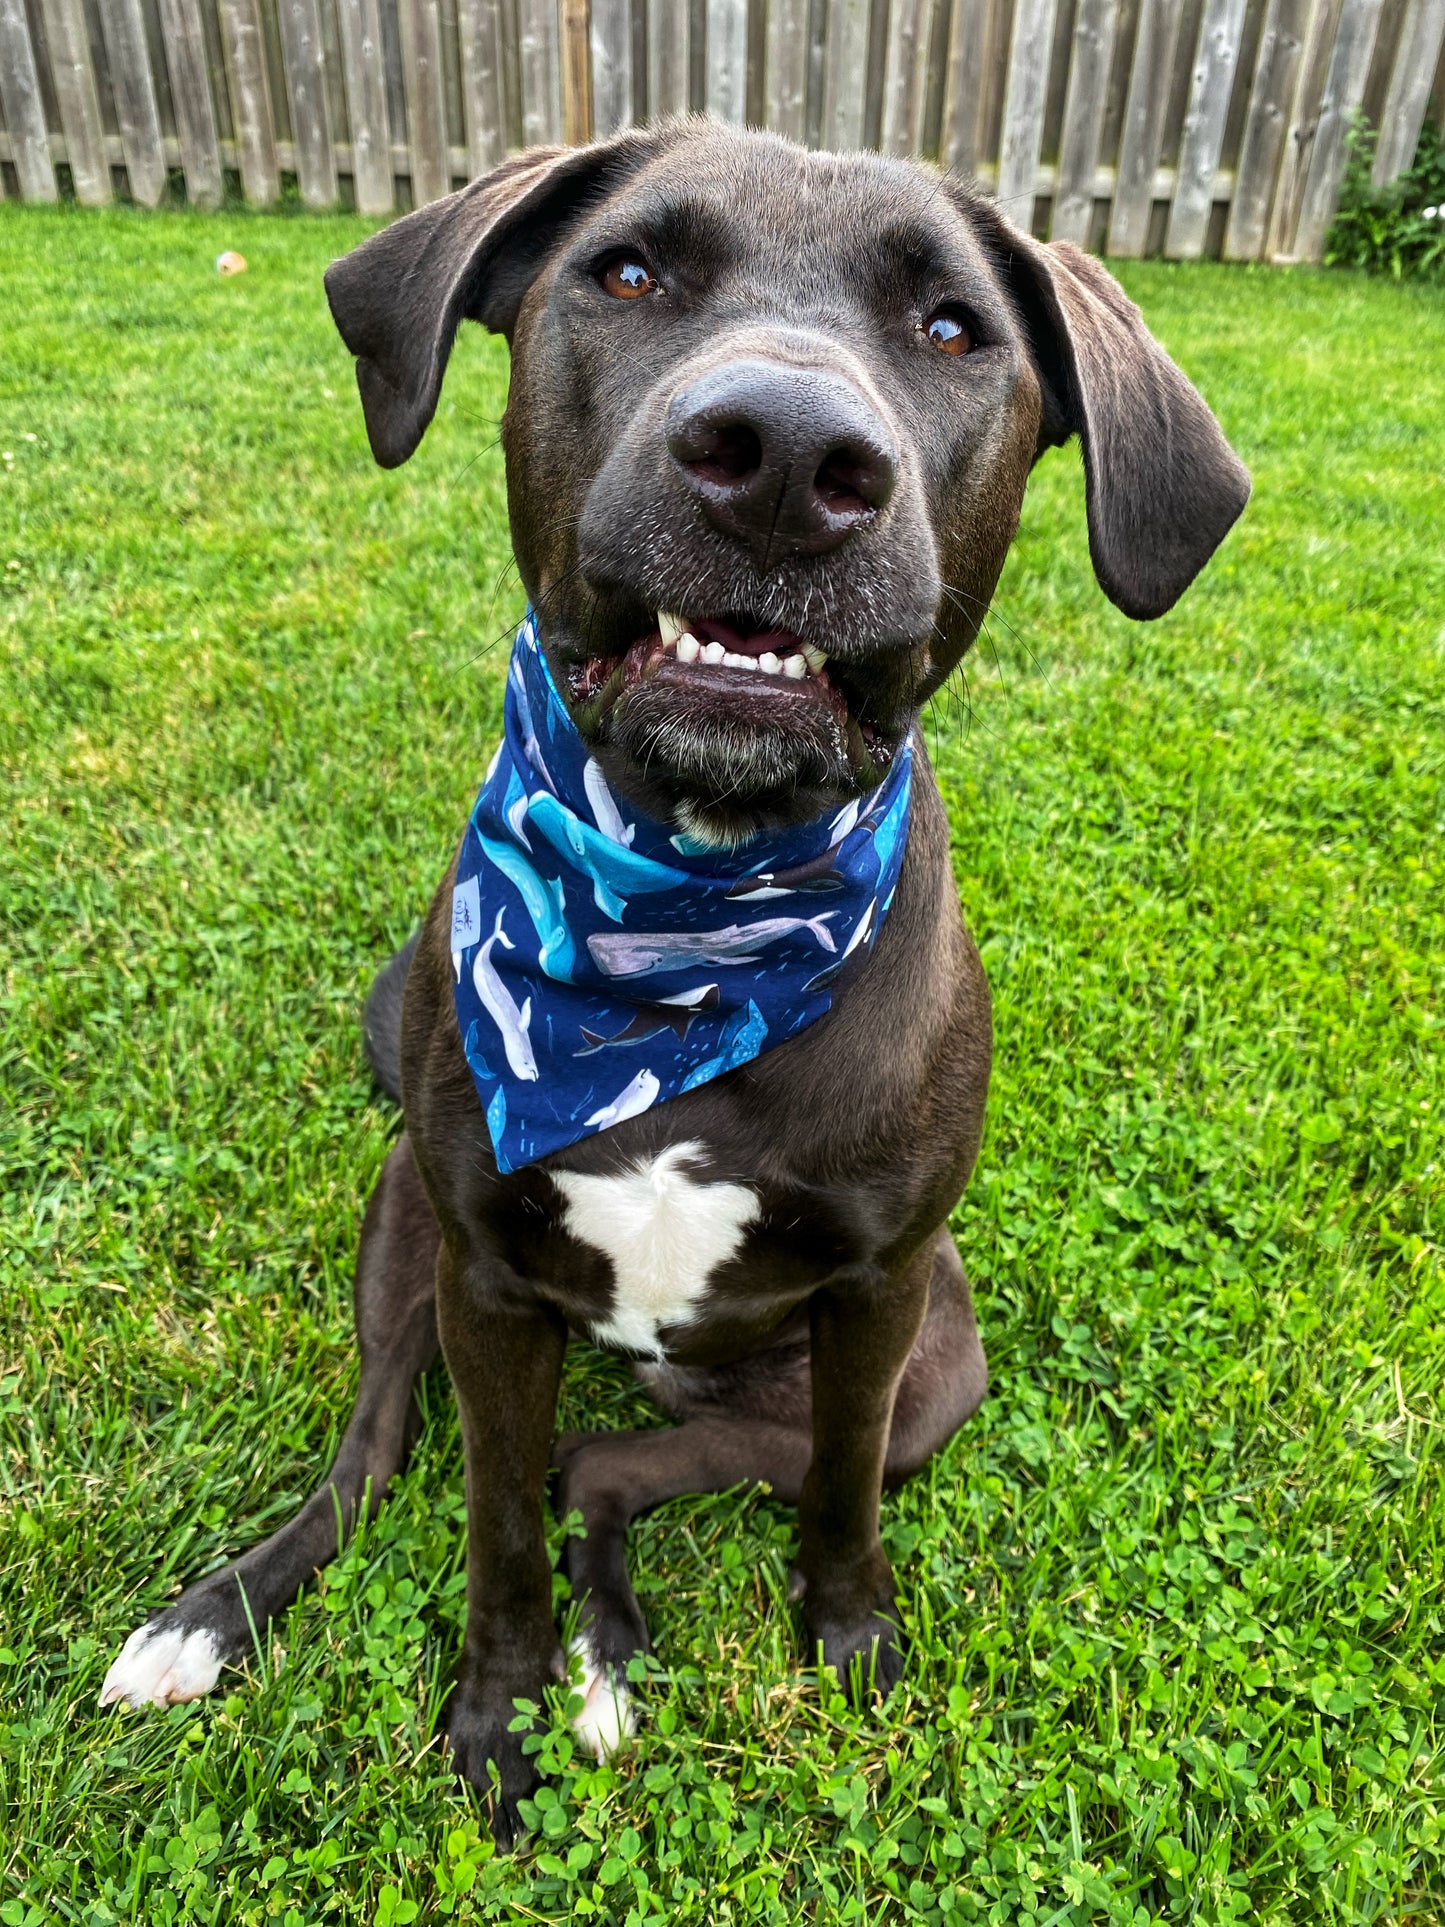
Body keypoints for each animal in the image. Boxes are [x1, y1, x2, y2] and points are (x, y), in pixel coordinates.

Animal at [104, 116, 1256, 1834]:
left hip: (931, 1367)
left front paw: (845, 1634)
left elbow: (832, 1492)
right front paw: (497, 1706)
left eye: (950, 329)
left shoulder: (880, 1297)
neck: (687, 920)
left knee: (612, 1468)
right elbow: (494, 1523)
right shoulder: (486, 1277)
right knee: (384, 1454)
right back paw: (218, 1616)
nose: (782, 453)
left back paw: (611, 1641)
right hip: (406, 1227)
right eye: (629, 272)